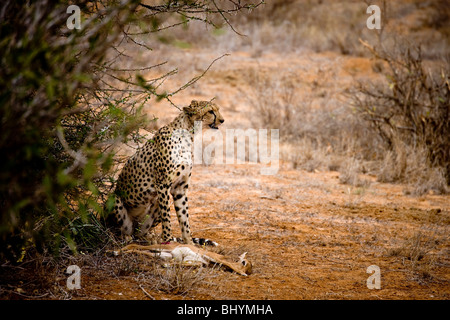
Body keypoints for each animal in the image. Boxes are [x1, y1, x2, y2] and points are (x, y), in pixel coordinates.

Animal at [106, 100, 225, 245]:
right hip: (115, 199)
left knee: (139, 234)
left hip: (151, 207)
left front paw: (189, 242)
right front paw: (168, 239)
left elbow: (184, 217)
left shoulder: (180, 188)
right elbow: (167, 216)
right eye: (210, 111)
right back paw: (124, 237)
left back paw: (149, 239)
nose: (222, 120)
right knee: (120, 229)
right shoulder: (163, 184)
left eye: (217, 109)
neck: (187, 135)